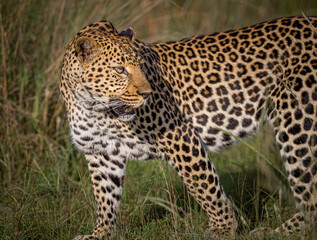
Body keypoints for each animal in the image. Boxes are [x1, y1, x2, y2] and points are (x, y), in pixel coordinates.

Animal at [60, 15, 316, 239]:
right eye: (119, 70)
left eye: (140, 66)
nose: (147, 94)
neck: (93, 107)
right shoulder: (100, 153)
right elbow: (105, 198)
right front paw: (100, 234)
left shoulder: (178, 136)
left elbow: (205, 186)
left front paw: (224, 229)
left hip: (298, 120)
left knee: (309, 195)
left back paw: (276, 232)